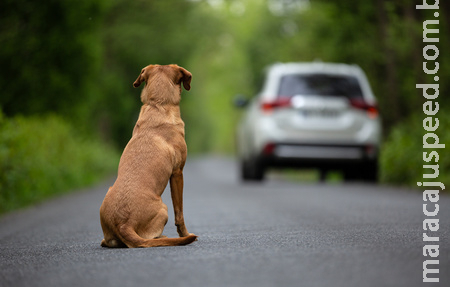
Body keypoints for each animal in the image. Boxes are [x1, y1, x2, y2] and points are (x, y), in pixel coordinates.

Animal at [100, 64, 197, 249]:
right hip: (163, 208)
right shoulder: (177, 173)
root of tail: (123, 225)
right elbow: (179, 213)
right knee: (152, 237)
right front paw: (185, 234)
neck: (158, 104)